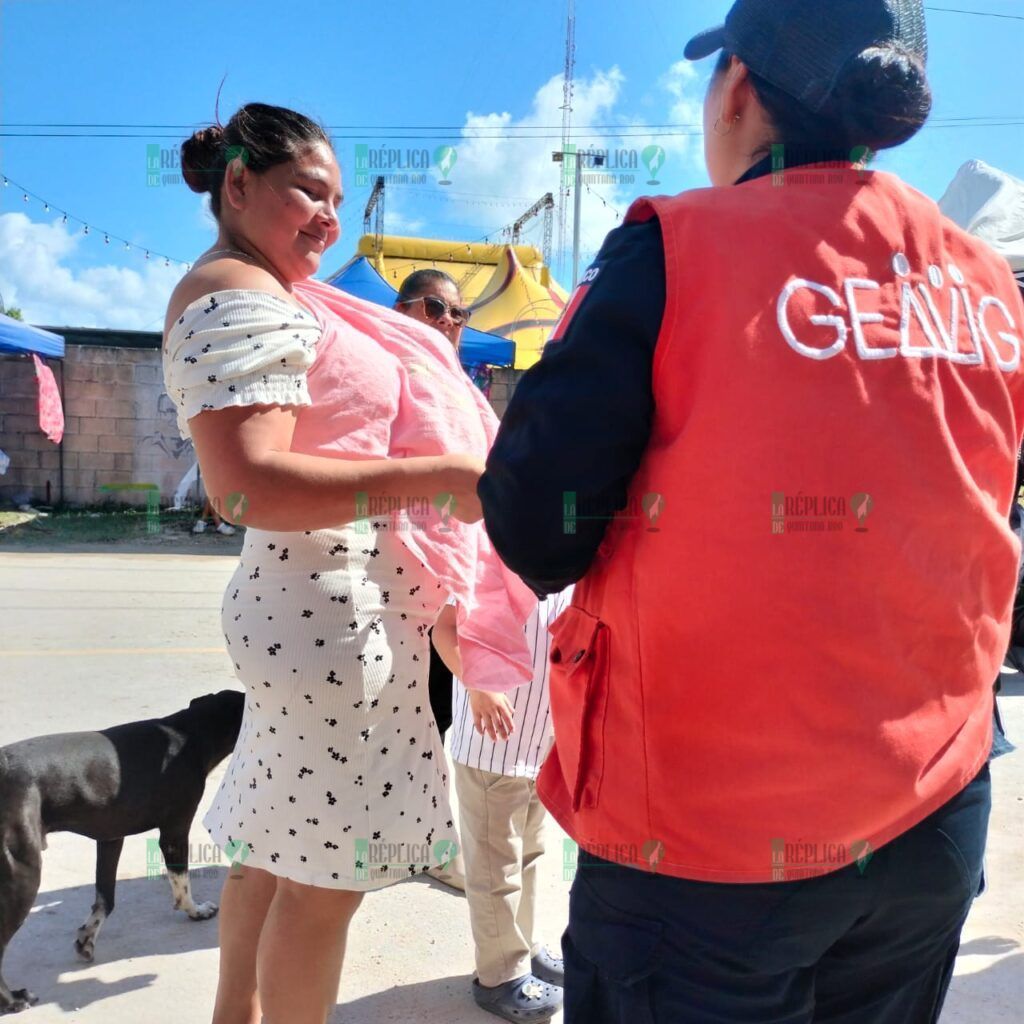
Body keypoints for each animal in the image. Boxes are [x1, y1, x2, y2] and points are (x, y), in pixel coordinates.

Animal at [0, 692, 243, 1011]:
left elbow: (106, 899)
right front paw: (196, 911)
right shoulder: (175, 831)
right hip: (23, 873)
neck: (191, 733)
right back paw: (13, 1000)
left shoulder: (110, 838)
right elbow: (181, 886)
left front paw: (87, 939)